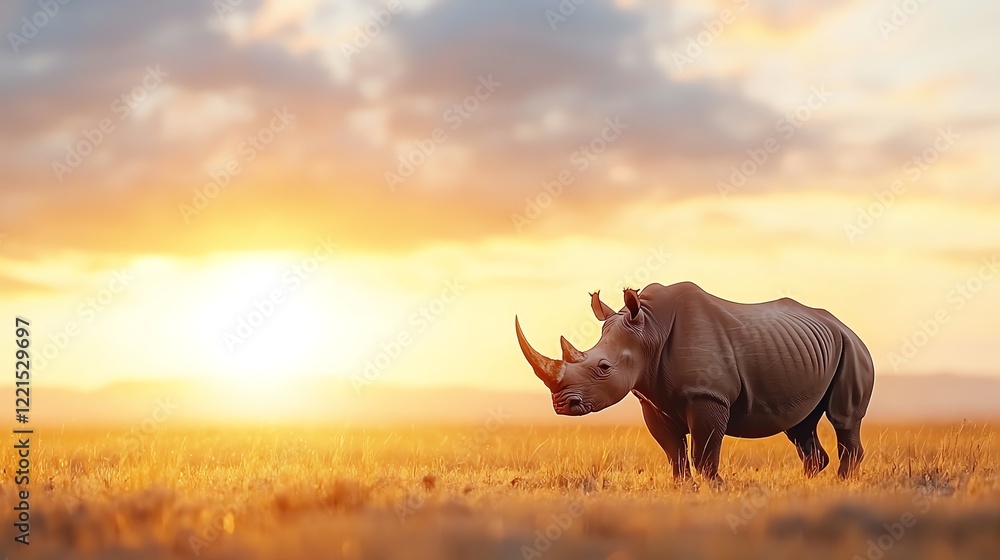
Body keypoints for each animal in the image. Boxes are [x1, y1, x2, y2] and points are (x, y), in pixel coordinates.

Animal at [515, 282, 875, 483]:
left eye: (603, 367)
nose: (562, 405)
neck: (649, 330)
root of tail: (843, 326)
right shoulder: (651, 400)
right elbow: (674, 452)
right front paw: (682, 488)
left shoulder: (708, 396)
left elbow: (704, 452)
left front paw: (716, 488)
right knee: (800, 425)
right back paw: (809, 484)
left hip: (853, 348)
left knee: (843, 419)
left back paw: (842, 484)